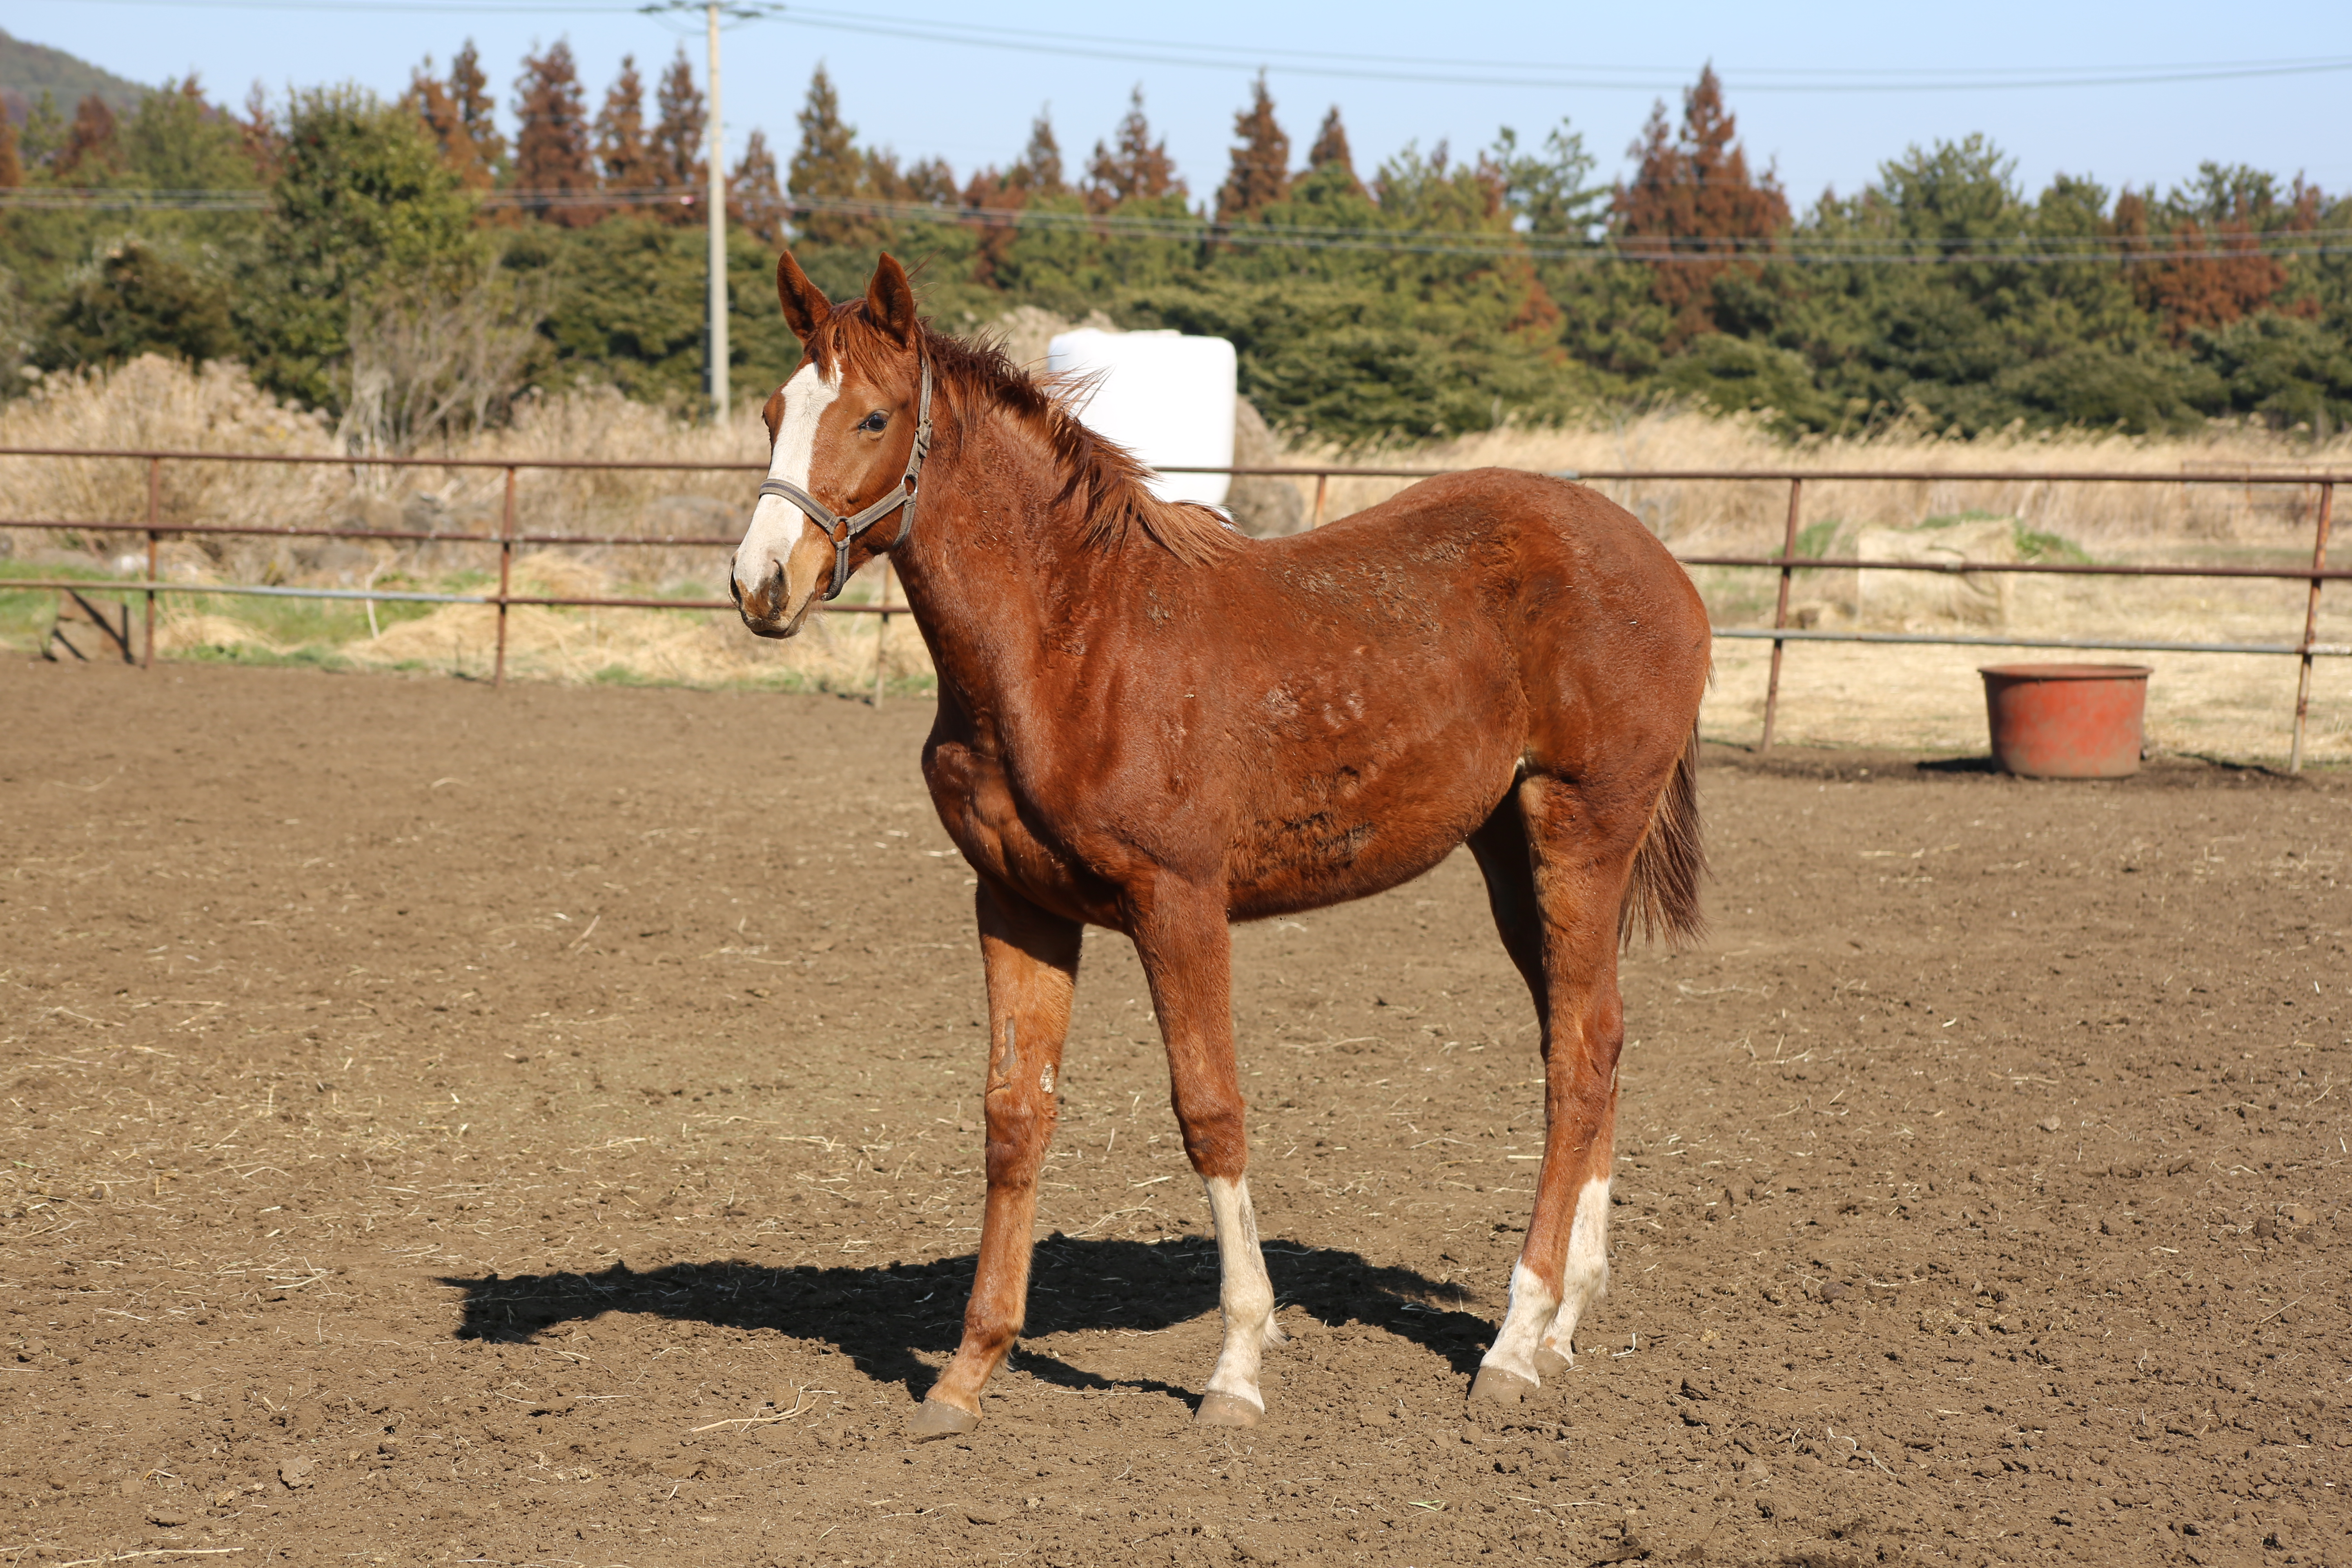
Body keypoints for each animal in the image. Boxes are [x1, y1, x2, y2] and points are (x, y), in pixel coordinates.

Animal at [724, 252, 1703, 1439]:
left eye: (873, 416)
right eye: (773, 412)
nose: (761, 584)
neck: (1072, 641)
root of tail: (1659, 562)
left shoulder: (1178, 902)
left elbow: (1210, 1111)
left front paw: (1237, 1366)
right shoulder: (1016, 903)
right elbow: (1014, 1116)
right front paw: (966, 1371)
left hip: (1582, 828)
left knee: (1577, 1056)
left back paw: (1514, 1341)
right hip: (1511, 856)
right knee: (1593, 1038)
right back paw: (1562, 1324)